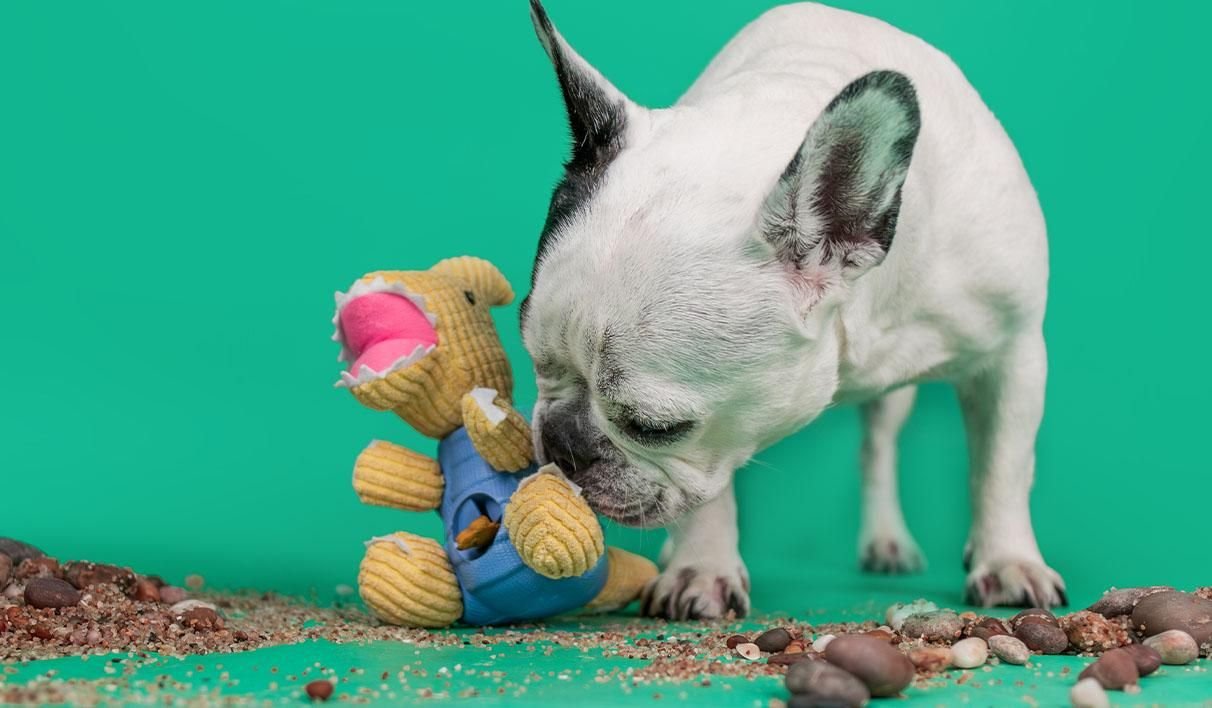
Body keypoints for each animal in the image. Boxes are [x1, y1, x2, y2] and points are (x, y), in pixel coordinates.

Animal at [520, 1, 1065, 618]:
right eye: (536, 364)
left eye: (653, 427)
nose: (560, 443)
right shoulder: (720, 436)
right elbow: (708, 496)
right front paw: (701, 570)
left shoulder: (1014, 353)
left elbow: (1002, 466)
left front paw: (1008, 560)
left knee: (878, 446)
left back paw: (890, 540)